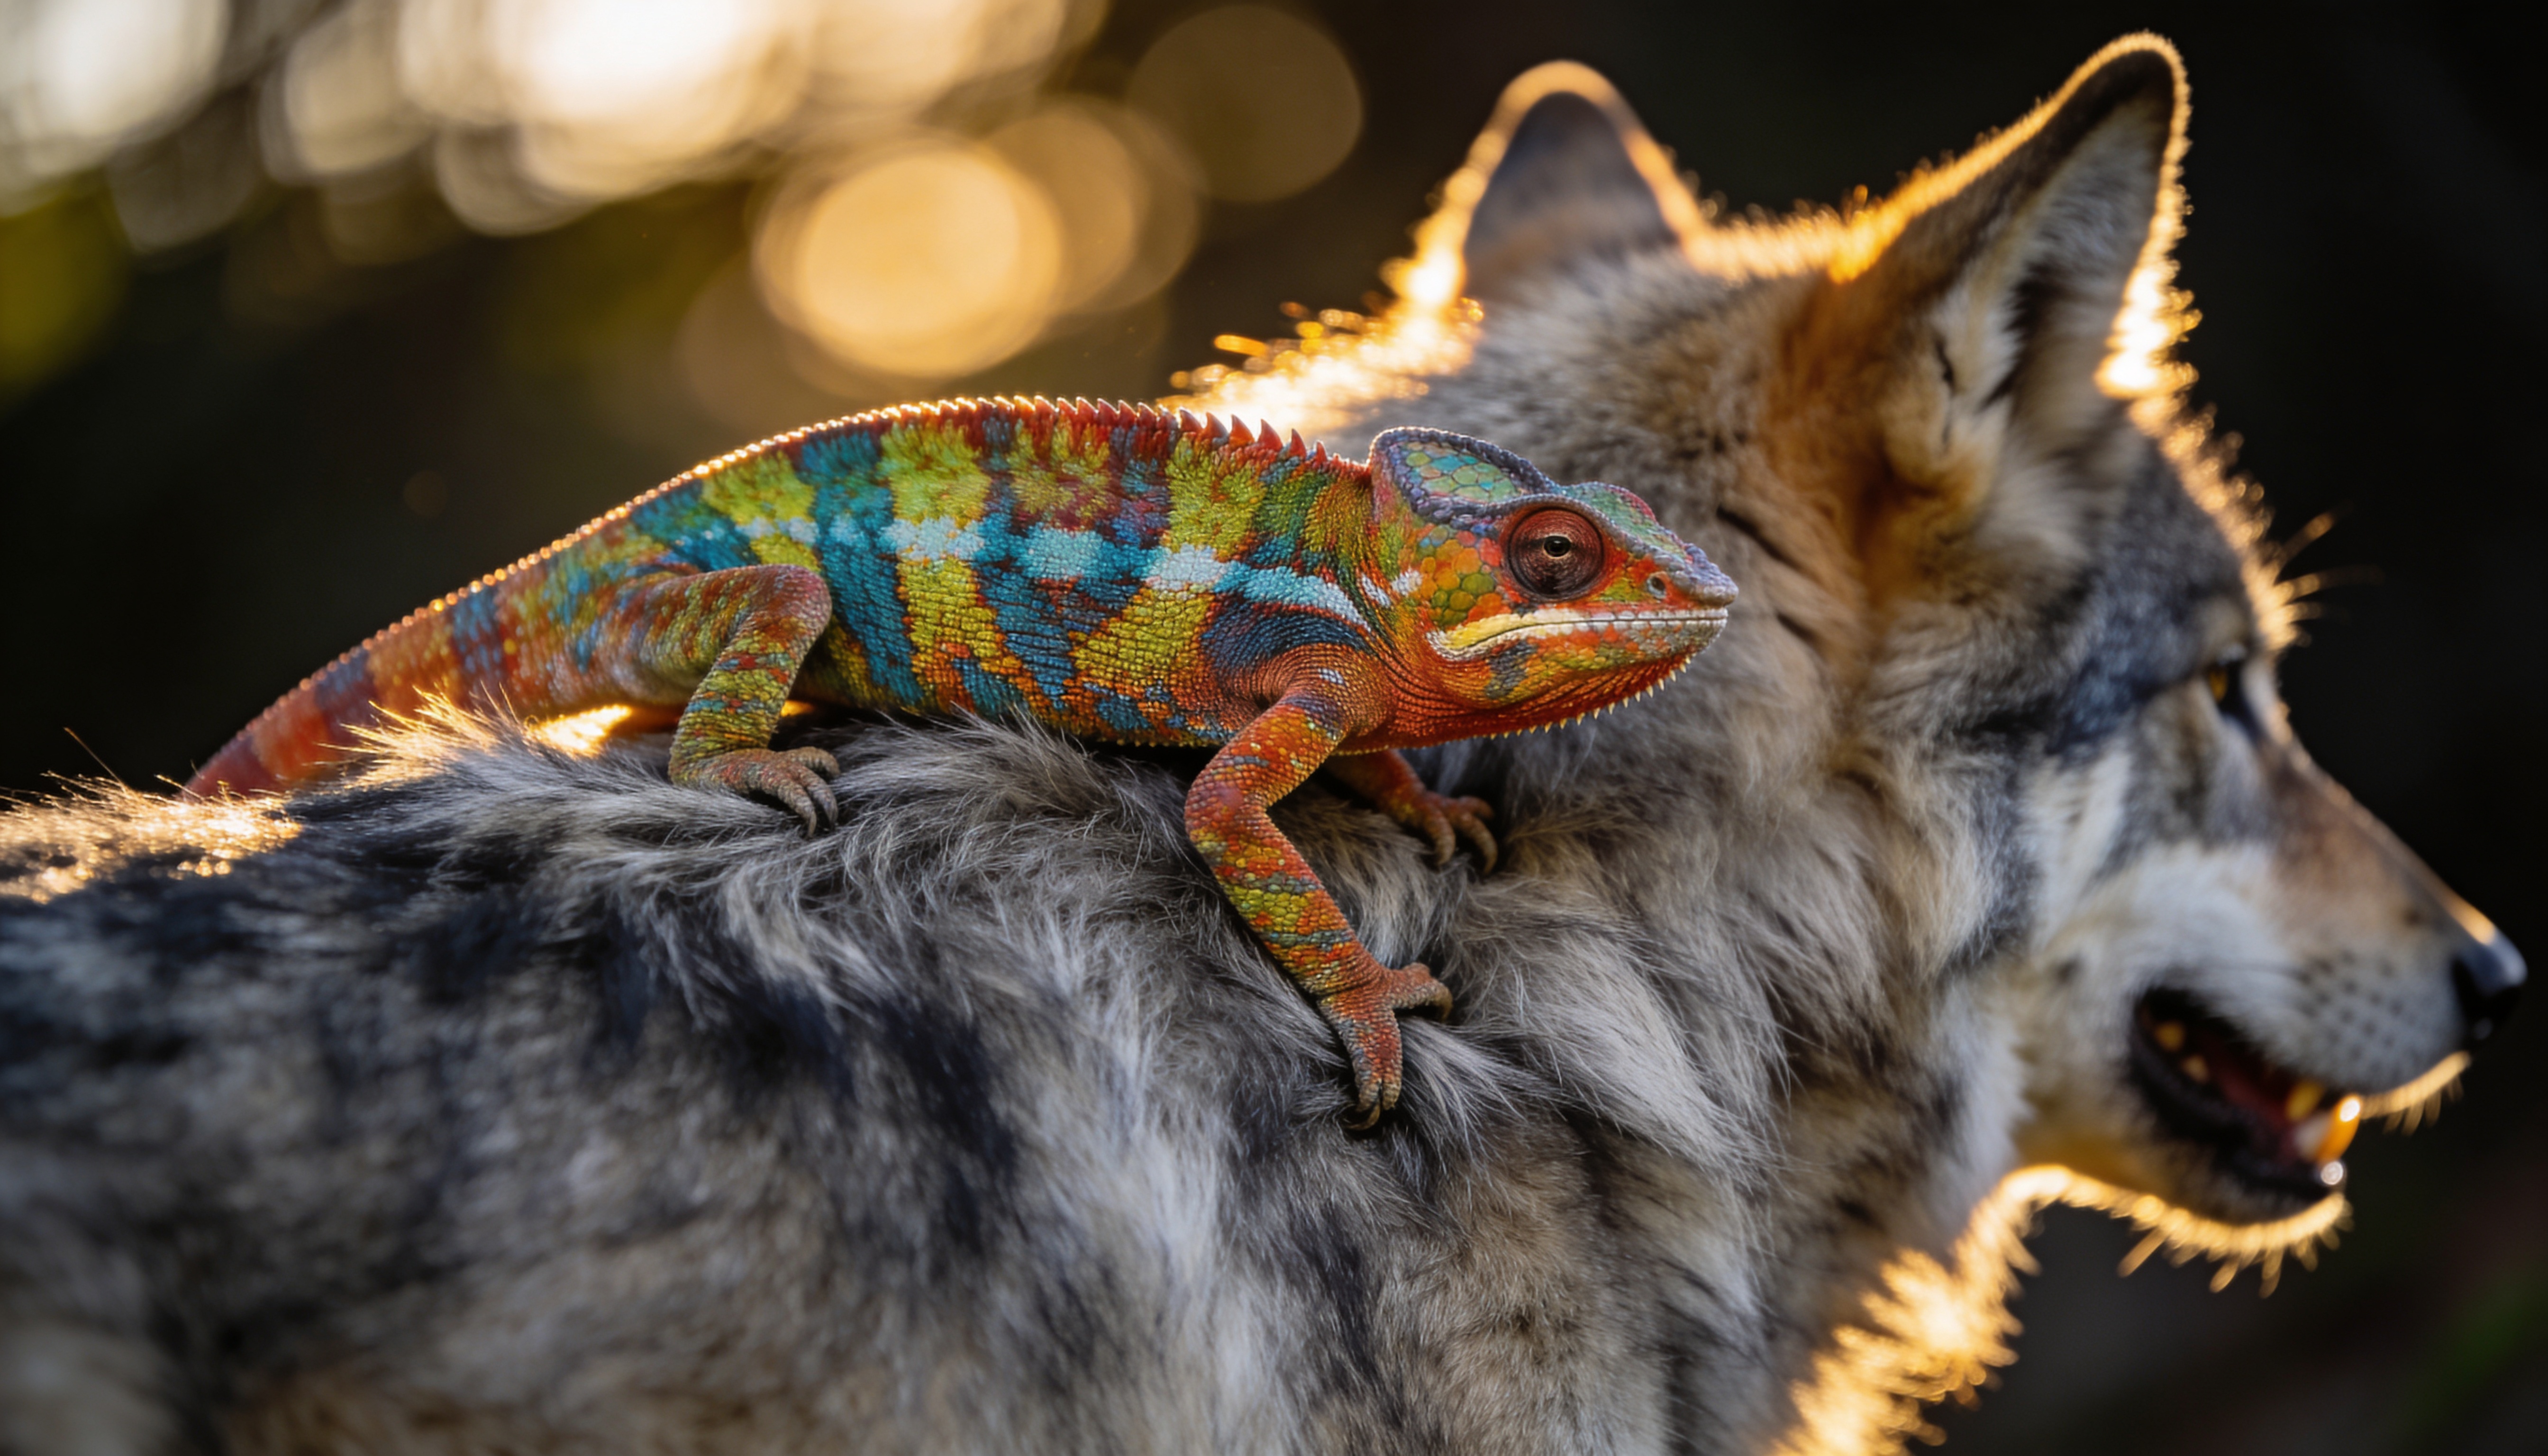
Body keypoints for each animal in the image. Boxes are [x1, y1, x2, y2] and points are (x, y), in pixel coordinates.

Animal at [0, 33, 2522, 1456]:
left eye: (1612, 544)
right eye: (2230, 698)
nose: (2495, 971)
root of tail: (575, 556)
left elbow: (1360, 784)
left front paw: (1415, 810)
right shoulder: (1273, 729)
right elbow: (1249, 826)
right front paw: (1381, 998)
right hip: (712, 595)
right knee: (752, 625)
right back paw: (742, 759)